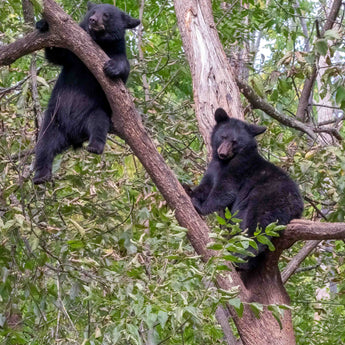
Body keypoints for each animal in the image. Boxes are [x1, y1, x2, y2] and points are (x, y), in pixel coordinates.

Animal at [32, 1, 140, 184]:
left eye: (106, 15)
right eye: (93, 11)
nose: (93, 20)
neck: (100, 42)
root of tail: (72, 136)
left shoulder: (115, 49)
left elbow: (123, 65)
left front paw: (112, 67)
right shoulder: (74, 55)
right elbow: (56, 54)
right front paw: (43, 23)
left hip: (94, 113)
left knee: (98, 125)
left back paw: (94, 147)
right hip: (53, 121)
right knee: (44, 147)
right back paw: (41, 175)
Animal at [184, 109, 302, 270]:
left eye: (235, 142)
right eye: (223, 136)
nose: (222, 153)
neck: (224, 162)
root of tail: (296, 205)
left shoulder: (238, 169)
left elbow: (225, 191)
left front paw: (199, 205)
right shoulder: (213, 169)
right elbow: (205, 186)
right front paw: (188, 189)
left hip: (266, 199)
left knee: (258, 227)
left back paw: (241, 257)